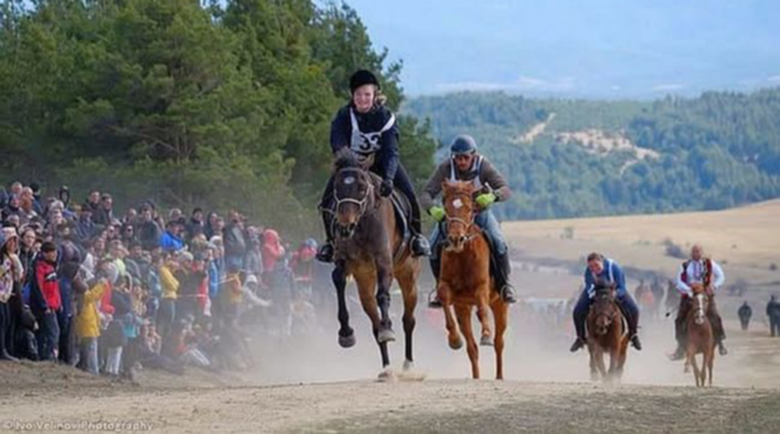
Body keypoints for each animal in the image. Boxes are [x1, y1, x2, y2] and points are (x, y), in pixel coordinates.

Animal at [330, 149, 426, 380]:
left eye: (362, 187)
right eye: (337, 188)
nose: (344, 226)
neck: (362, 223)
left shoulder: (383, 261)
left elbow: (383, 295)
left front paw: (388, 328)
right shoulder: (345, 260)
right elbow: (338, 280)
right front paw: (346, 333)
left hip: (408, 277)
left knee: (408, 320)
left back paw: (408, 365)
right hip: (365, 280)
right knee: (374, 322)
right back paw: (387, 368)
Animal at [436, 180, 508, 380]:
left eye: (469, 209)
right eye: (446, 208)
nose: (455, 239)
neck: (463, 255)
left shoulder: (481, 287)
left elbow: (483, 309)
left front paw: (486, 334)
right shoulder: (448, 289)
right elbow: (443, 297)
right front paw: (454, 339)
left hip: (500, 305)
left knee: (499, 342)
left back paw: (499, 376)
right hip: (463, 308)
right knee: (472, 349)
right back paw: (476, 376)